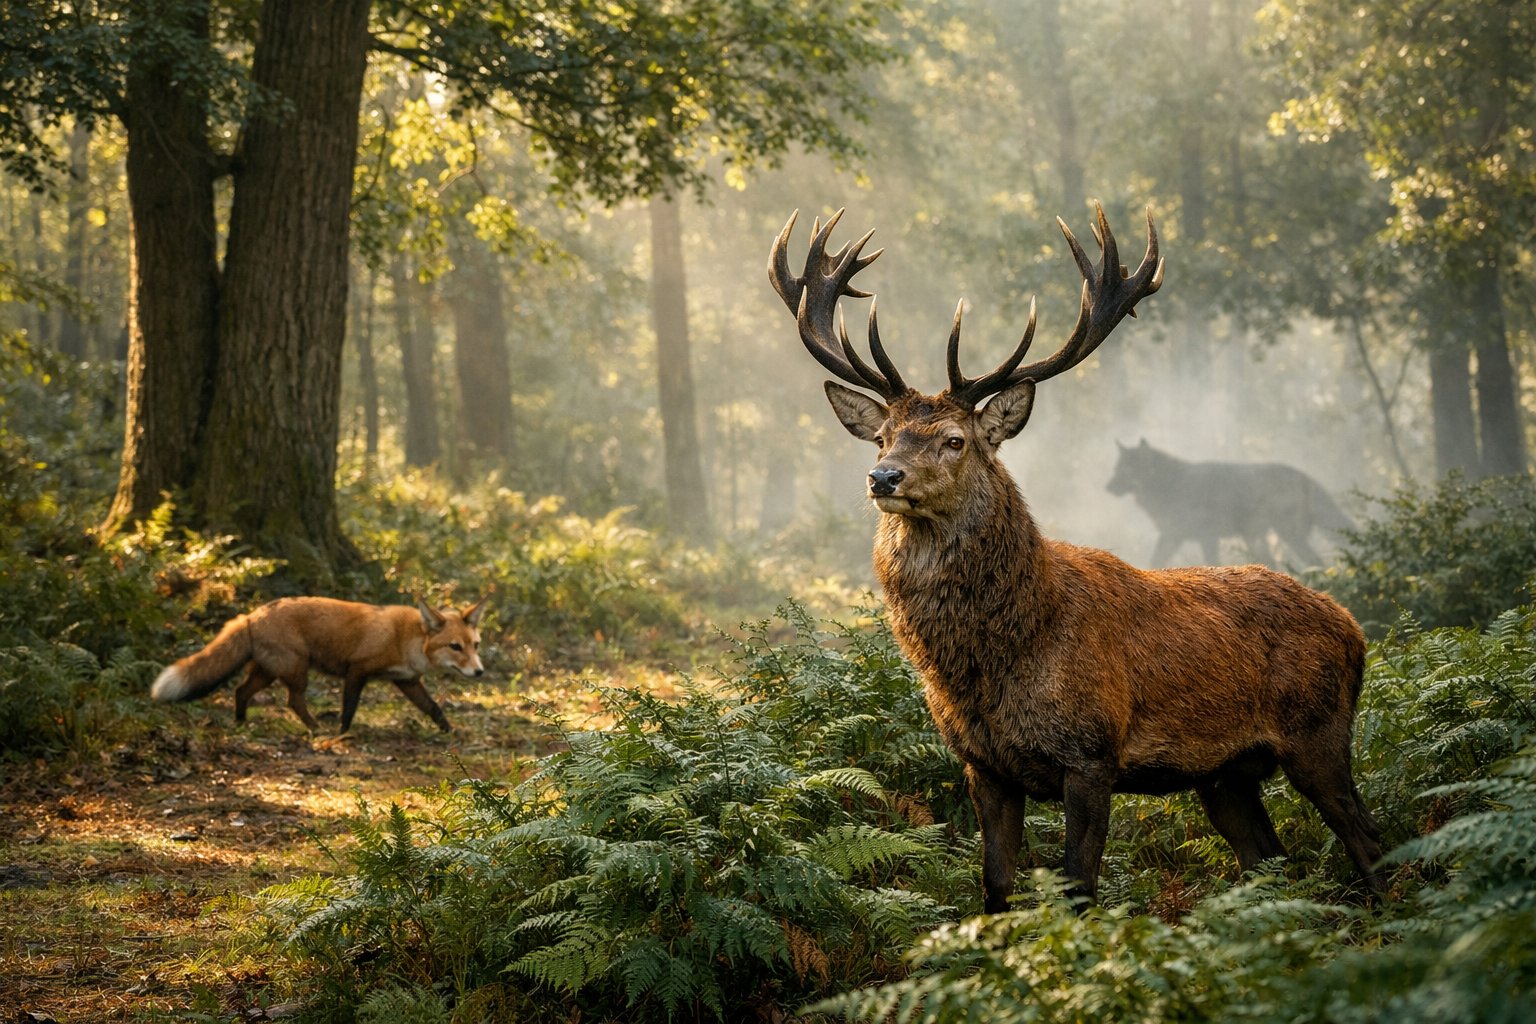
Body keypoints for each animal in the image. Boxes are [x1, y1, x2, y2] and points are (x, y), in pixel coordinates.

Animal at [150, 596, 487, 733]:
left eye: (475, 645)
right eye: (455, 647)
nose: (480, 672)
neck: (407, 639)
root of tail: (253, 614)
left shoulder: (406, 681)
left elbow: (433, 708)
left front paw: (449, 731)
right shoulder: (357, 671)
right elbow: (348, 710)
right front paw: (342, 734)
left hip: (269, 673)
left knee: (240, 691)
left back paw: (241, 723)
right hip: (297, 671)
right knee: (293, 701)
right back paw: (315, 729)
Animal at [1106, 439, 1353, 567]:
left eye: (1126, 469)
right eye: (1116, 468)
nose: (1107, 487)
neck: (1170, 486)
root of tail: (1305, 477)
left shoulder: (1208, 537)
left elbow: (1212, 563)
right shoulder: (1171, 536)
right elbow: (1154, 562)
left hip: (1287, 536)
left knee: (1317, 564)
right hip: (1259, 540)